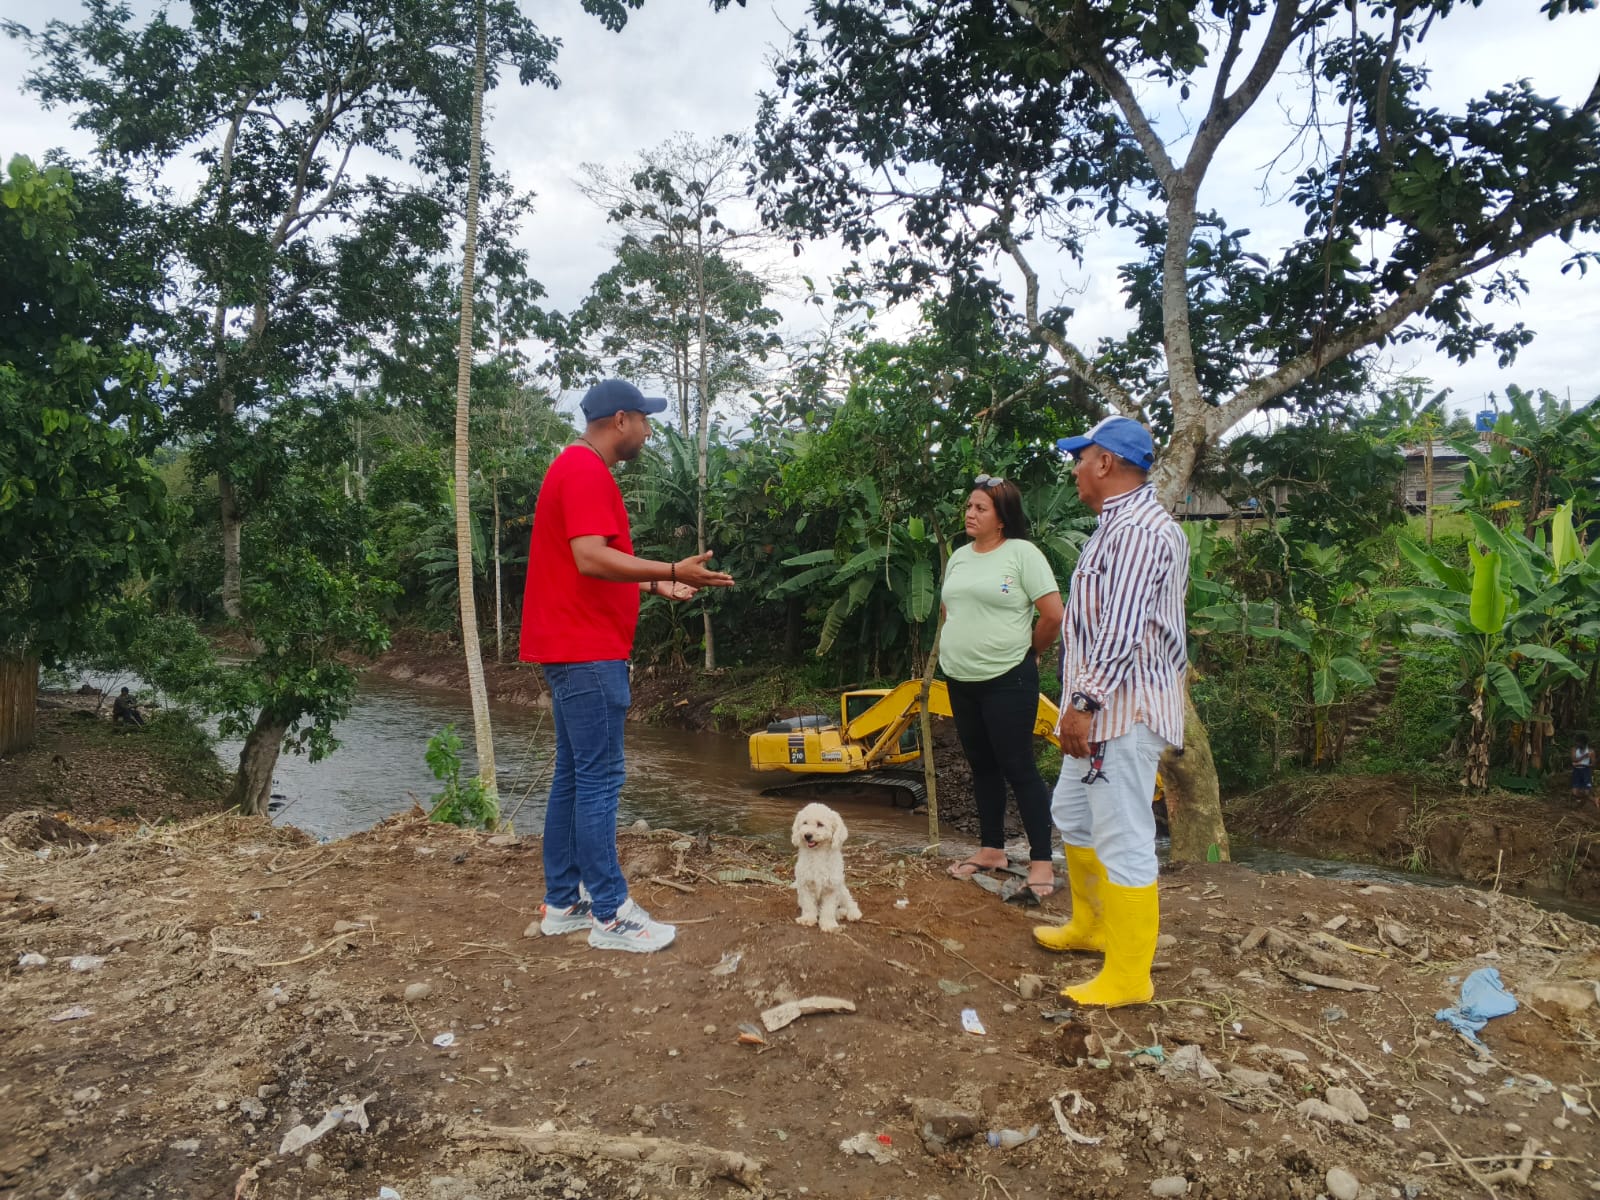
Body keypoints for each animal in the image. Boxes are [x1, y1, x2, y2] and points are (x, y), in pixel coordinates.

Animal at [790, 802, 862, 932]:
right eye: (805, 823)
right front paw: (807, 919)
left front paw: (829, 924)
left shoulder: (832, 888)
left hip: (842, 891)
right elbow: (809, 905)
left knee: (850, 902)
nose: (807, 835)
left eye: (820, 824)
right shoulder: (805, 885)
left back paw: (853, 913)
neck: (818, 853)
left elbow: (828, 909)